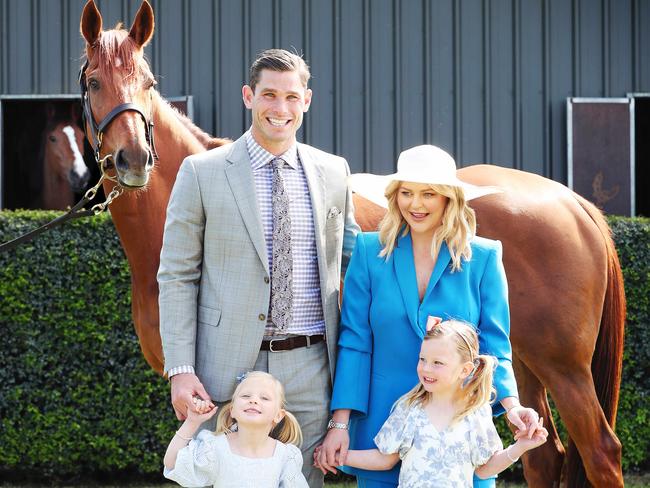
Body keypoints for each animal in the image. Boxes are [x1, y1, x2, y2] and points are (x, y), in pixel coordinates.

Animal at [79, 1, 624, 486]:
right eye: (92, 82)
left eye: (149, 84)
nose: (133, 159)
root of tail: (573, 203)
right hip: (519, 360)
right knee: (544, 456)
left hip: (565, 369)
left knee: (601, 452)